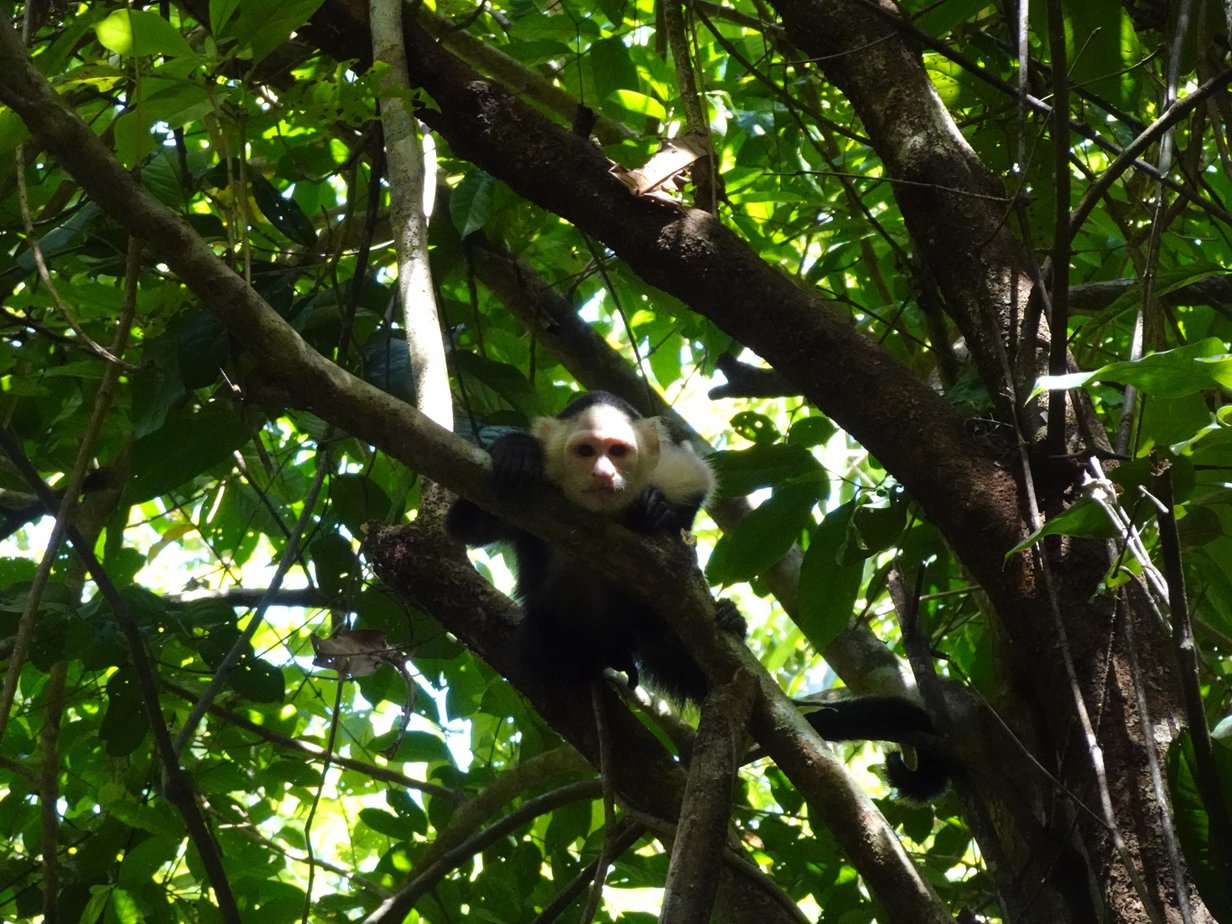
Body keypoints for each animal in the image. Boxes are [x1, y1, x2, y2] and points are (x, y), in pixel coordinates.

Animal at [447, 391, 950, 799]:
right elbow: (463, 528)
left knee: (667, 632)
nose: (604, 472)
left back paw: (726, 620)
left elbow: (696, 484)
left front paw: (660, 509)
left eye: (617, 451)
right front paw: (517, 450)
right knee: (541, 644)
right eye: (585, 451)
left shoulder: (668, 469)